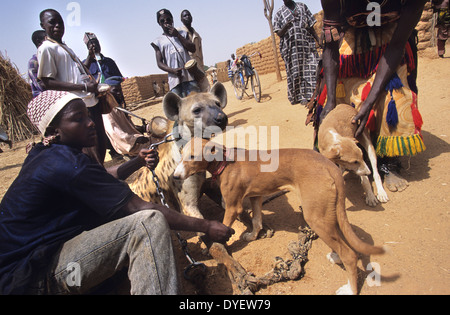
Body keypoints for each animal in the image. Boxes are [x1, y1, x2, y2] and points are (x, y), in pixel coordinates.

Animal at [174, 139, 384, 296]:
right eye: (181, 154)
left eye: (192, 157)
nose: (175, 176)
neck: (225, 162)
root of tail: (329, 165)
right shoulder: (256, 196)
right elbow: (257, 221)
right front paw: (253, 236)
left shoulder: (233, 207)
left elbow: (223, 229)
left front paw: (213, 245)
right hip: (327, 213)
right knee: (341, 242)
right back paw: (335, 255)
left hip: (316, 216)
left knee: (350, 254)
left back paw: (350, 289)